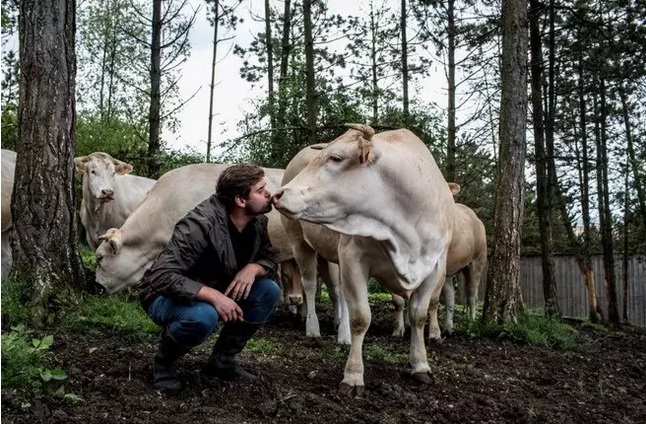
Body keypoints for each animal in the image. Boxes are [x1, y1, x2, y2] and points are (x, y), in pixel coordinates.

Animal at [274, 124, 456, 396]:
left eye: (335, 157)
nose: (278, 194)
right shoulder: (353, 258)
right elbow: (360, 317)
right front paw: (353, 375)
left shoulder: (434, 267)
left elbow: (419, 315)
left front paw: (421, 365)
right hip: (301, 242)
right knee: (310, 286)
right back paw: (314, 328)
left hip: (331, 254)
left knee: (337, 291)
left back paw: (341, 330)